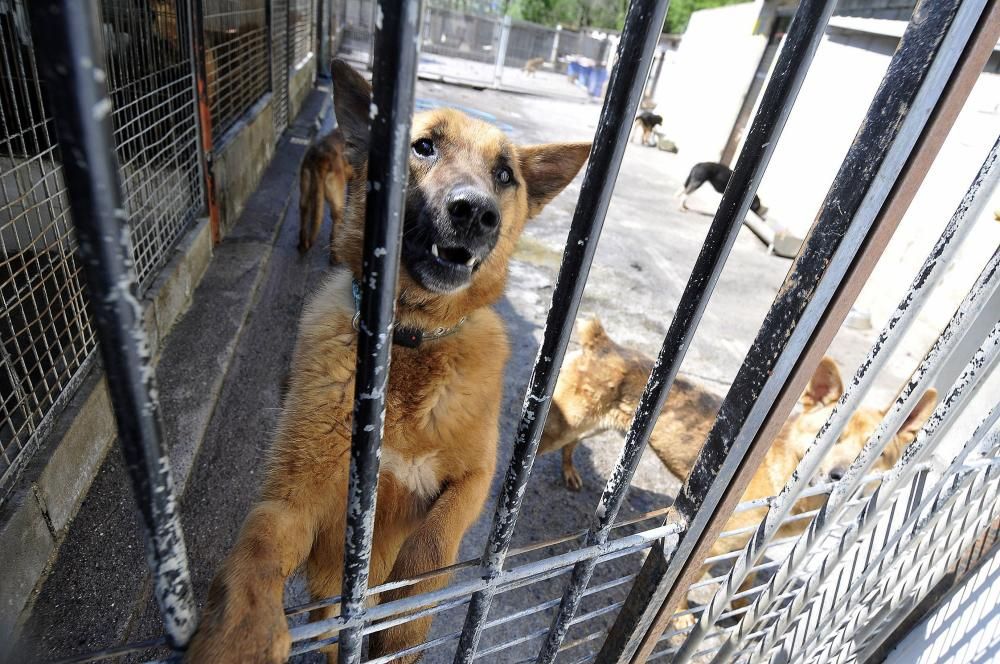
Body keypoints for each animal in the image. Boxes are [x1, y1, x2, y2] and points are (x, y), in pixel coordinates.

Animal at [296, 127, 352, 260]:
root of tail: (320, 158)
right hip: (337, 200)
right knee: (335, 225)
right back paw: (335, 257)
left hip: (306, 188)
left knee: (304, 212)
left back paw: (302, 245)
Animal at [540, 316, 936, 616]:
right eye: (831, 438)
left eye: (877, 452)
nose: (837, 477)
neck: (787, 473)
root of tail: (603, 341)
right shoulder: (709, 552)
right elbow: (681, 594)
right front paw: (684, 620)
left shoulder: (752, 548)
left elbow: (745, 582)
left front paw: (738, 613)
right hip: (563, 425)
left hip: (593, 428)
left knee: (572, 446)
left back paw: (570, 472)